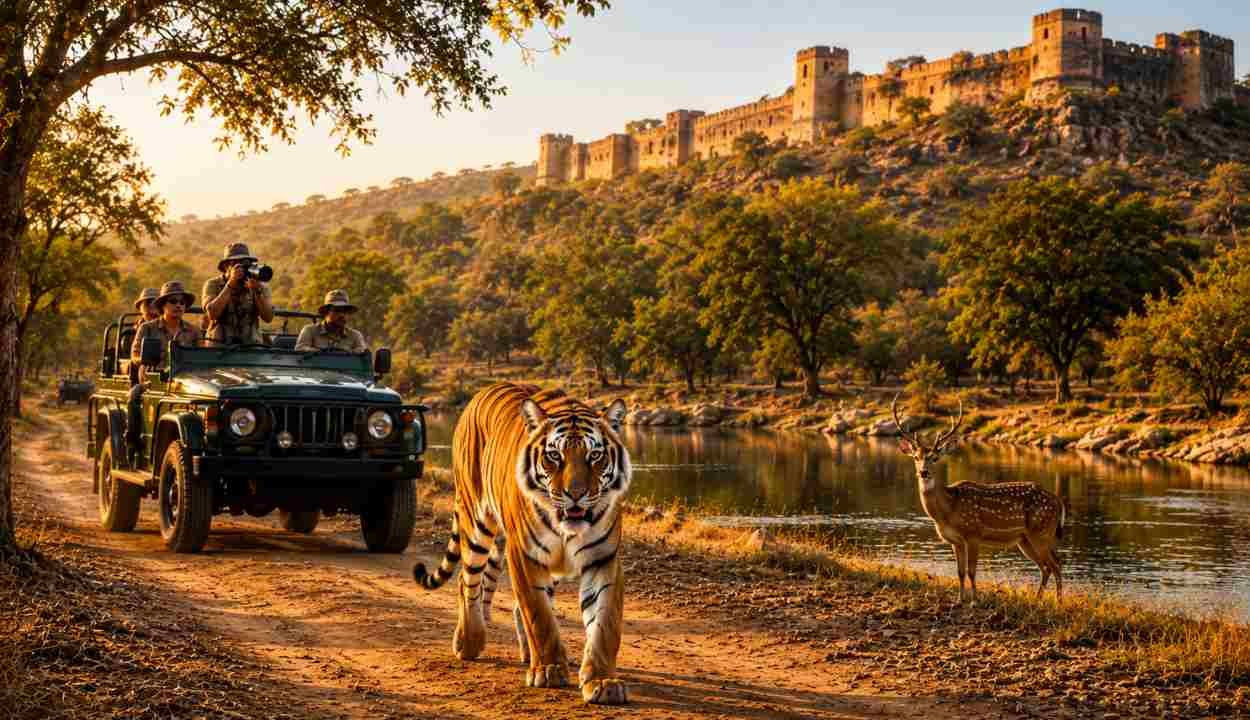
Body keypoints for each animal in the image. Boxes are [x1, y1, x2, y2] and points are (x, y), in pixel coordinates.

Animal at [412, 382, 632, 705]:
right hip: (475, 520)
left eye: (595, 456)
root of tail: (481, 392)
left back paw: (527, 654)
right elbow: (538, 615)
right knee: (468, 581)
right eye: (554, 456)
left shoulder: (603, 558)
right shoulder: (525, 555)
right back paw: (469, 642)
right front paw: (550, 670)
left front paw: (602, 681)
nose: (575, 494)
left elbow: (605, 624)